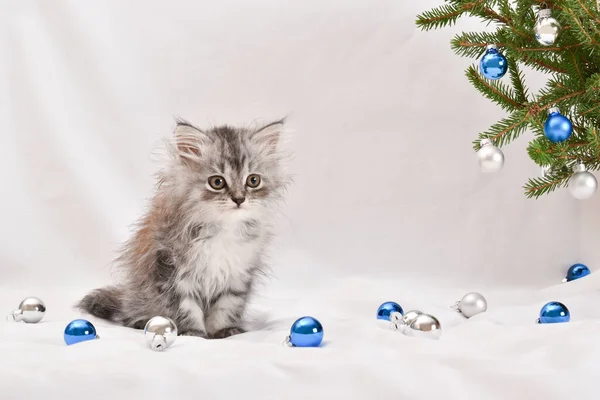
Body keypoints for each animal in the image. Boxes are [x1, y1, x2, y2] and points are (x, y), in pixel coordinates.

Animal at [78, 118, 290, 338]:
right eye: (217, 182)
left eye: (253, 180)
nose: (239, 199)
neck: (222, 228)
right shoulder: (171, 272)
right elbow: (185, 308)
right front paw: (193, 333)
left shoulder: (238, 275)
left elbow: (226, 307)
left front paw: (224, 331)